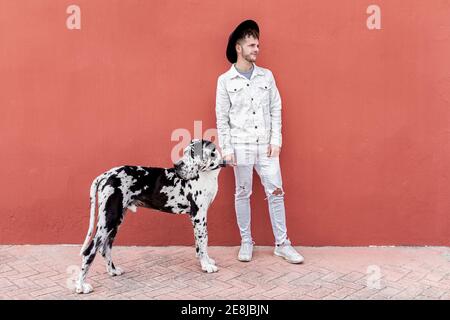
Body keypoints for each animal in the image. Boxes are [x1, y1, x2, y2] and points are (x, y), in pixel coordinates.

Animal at [76, 139, 225, 294]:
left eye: (192, 153)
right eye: (185, 152)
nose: (176, 165)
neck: (207, 174)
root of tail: (105, 174)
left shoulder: (200, 216)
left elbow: (201, 242)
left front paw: (206, 260)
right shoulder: (198, 215)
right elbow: (203, 241)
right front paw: (206, 265)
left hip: (115, 220)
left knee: (105, 248)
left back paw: (113, 270)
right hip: (109, 219)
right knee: (89, 251)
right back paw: (81, 285)